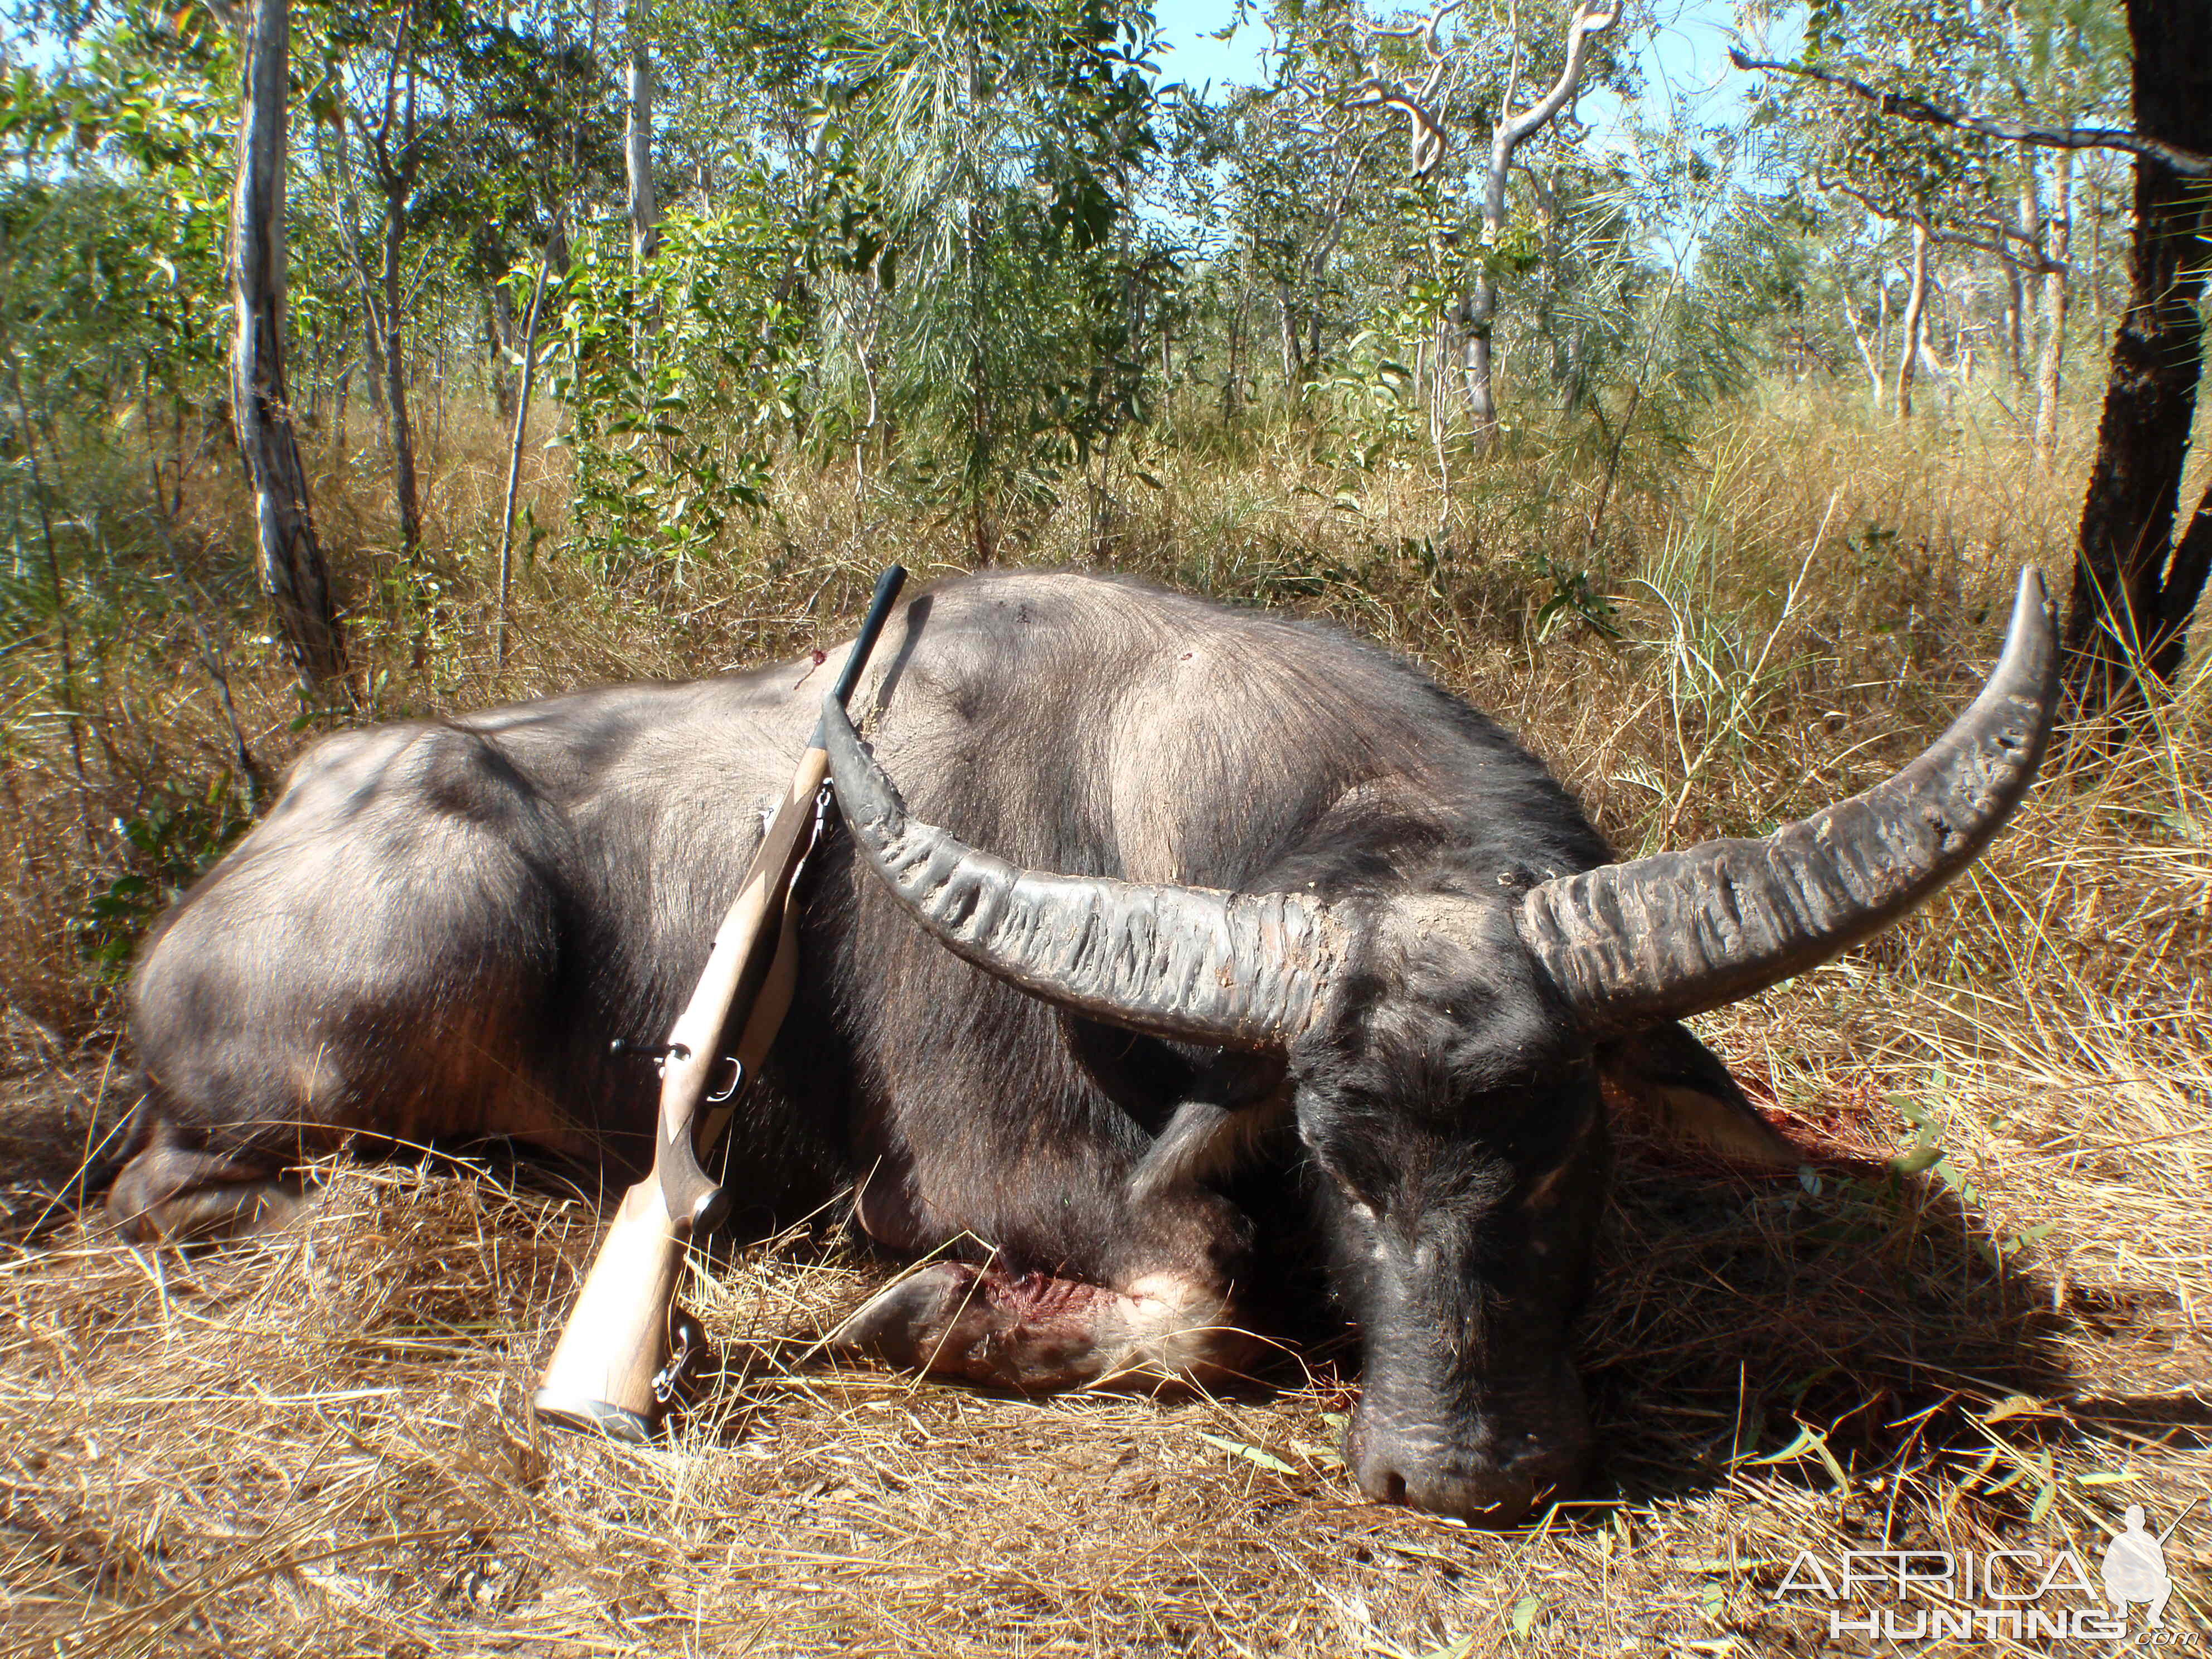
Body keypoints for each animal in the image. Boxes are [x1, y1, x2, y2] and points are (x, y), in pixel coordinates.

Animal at [108, 566, 2053, 1530]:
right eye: (1333, 1152)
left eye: (1566, 1139)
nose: (1462, 1474)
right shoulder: (996, 1177)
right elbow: (1190, 1295)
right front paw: (905, 1316)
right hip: (439, 943)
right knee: (170, 1185)